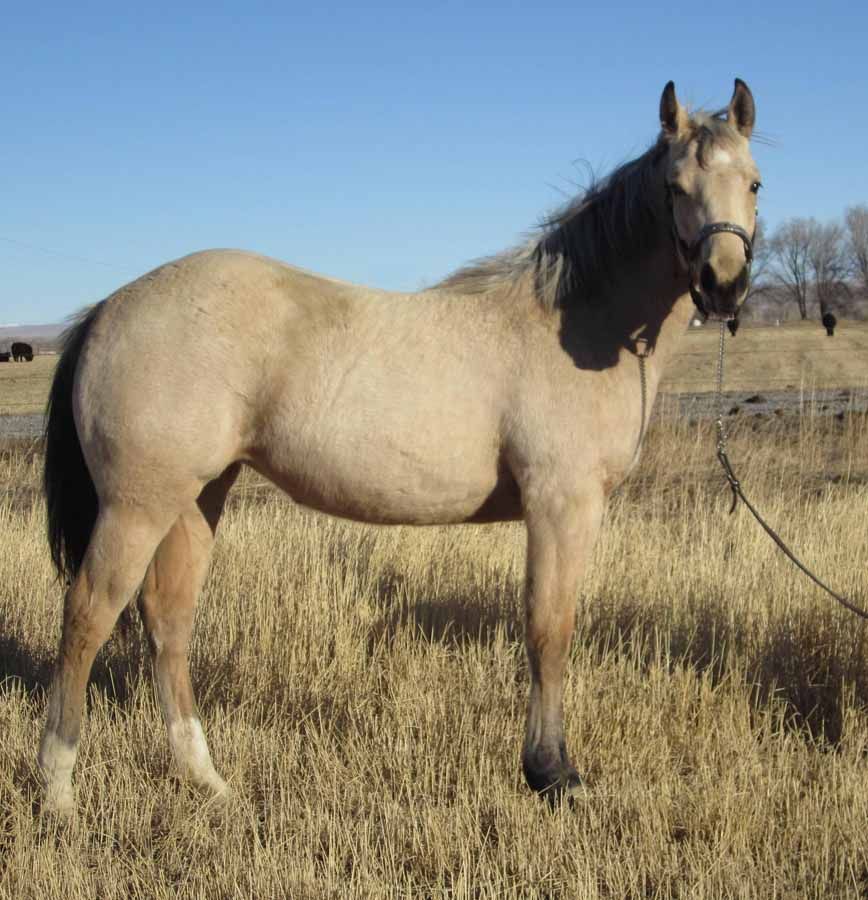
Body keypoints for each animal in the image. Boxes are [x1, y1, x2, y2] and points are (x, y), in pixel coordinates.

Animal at [38, 79, 761, 814]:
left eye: (754, 183)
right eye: (674, 186)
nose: (723, 284)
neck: (572, 325)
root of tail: (108, 307)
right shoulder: (562, 505)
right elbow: (548, 631)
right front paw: (552, 773)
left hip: (195, 500)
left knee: (167, 623)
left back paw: (208, 782)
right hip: (137, 506)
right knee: (87, 615)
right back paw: (58, 792)